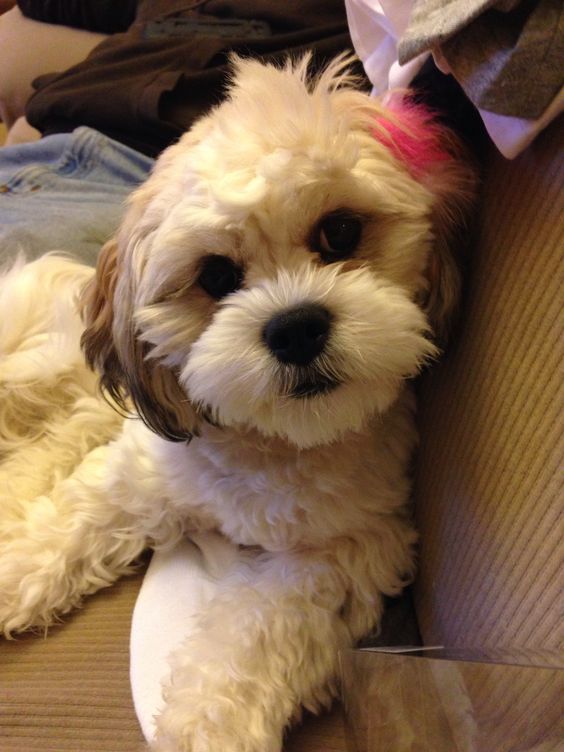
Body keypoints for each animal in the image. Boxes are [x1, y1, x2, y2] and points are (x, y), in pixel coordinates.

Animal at [0, 55, 474, 748]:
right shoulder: (139, 473)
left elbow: (248, 645)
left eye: (340, 232)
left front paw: (203, 729)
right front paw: (11, 574)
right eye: (216, 275)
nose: (295, 327)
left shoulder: (341, 554)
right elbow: (64, 529)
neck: (271, 443)